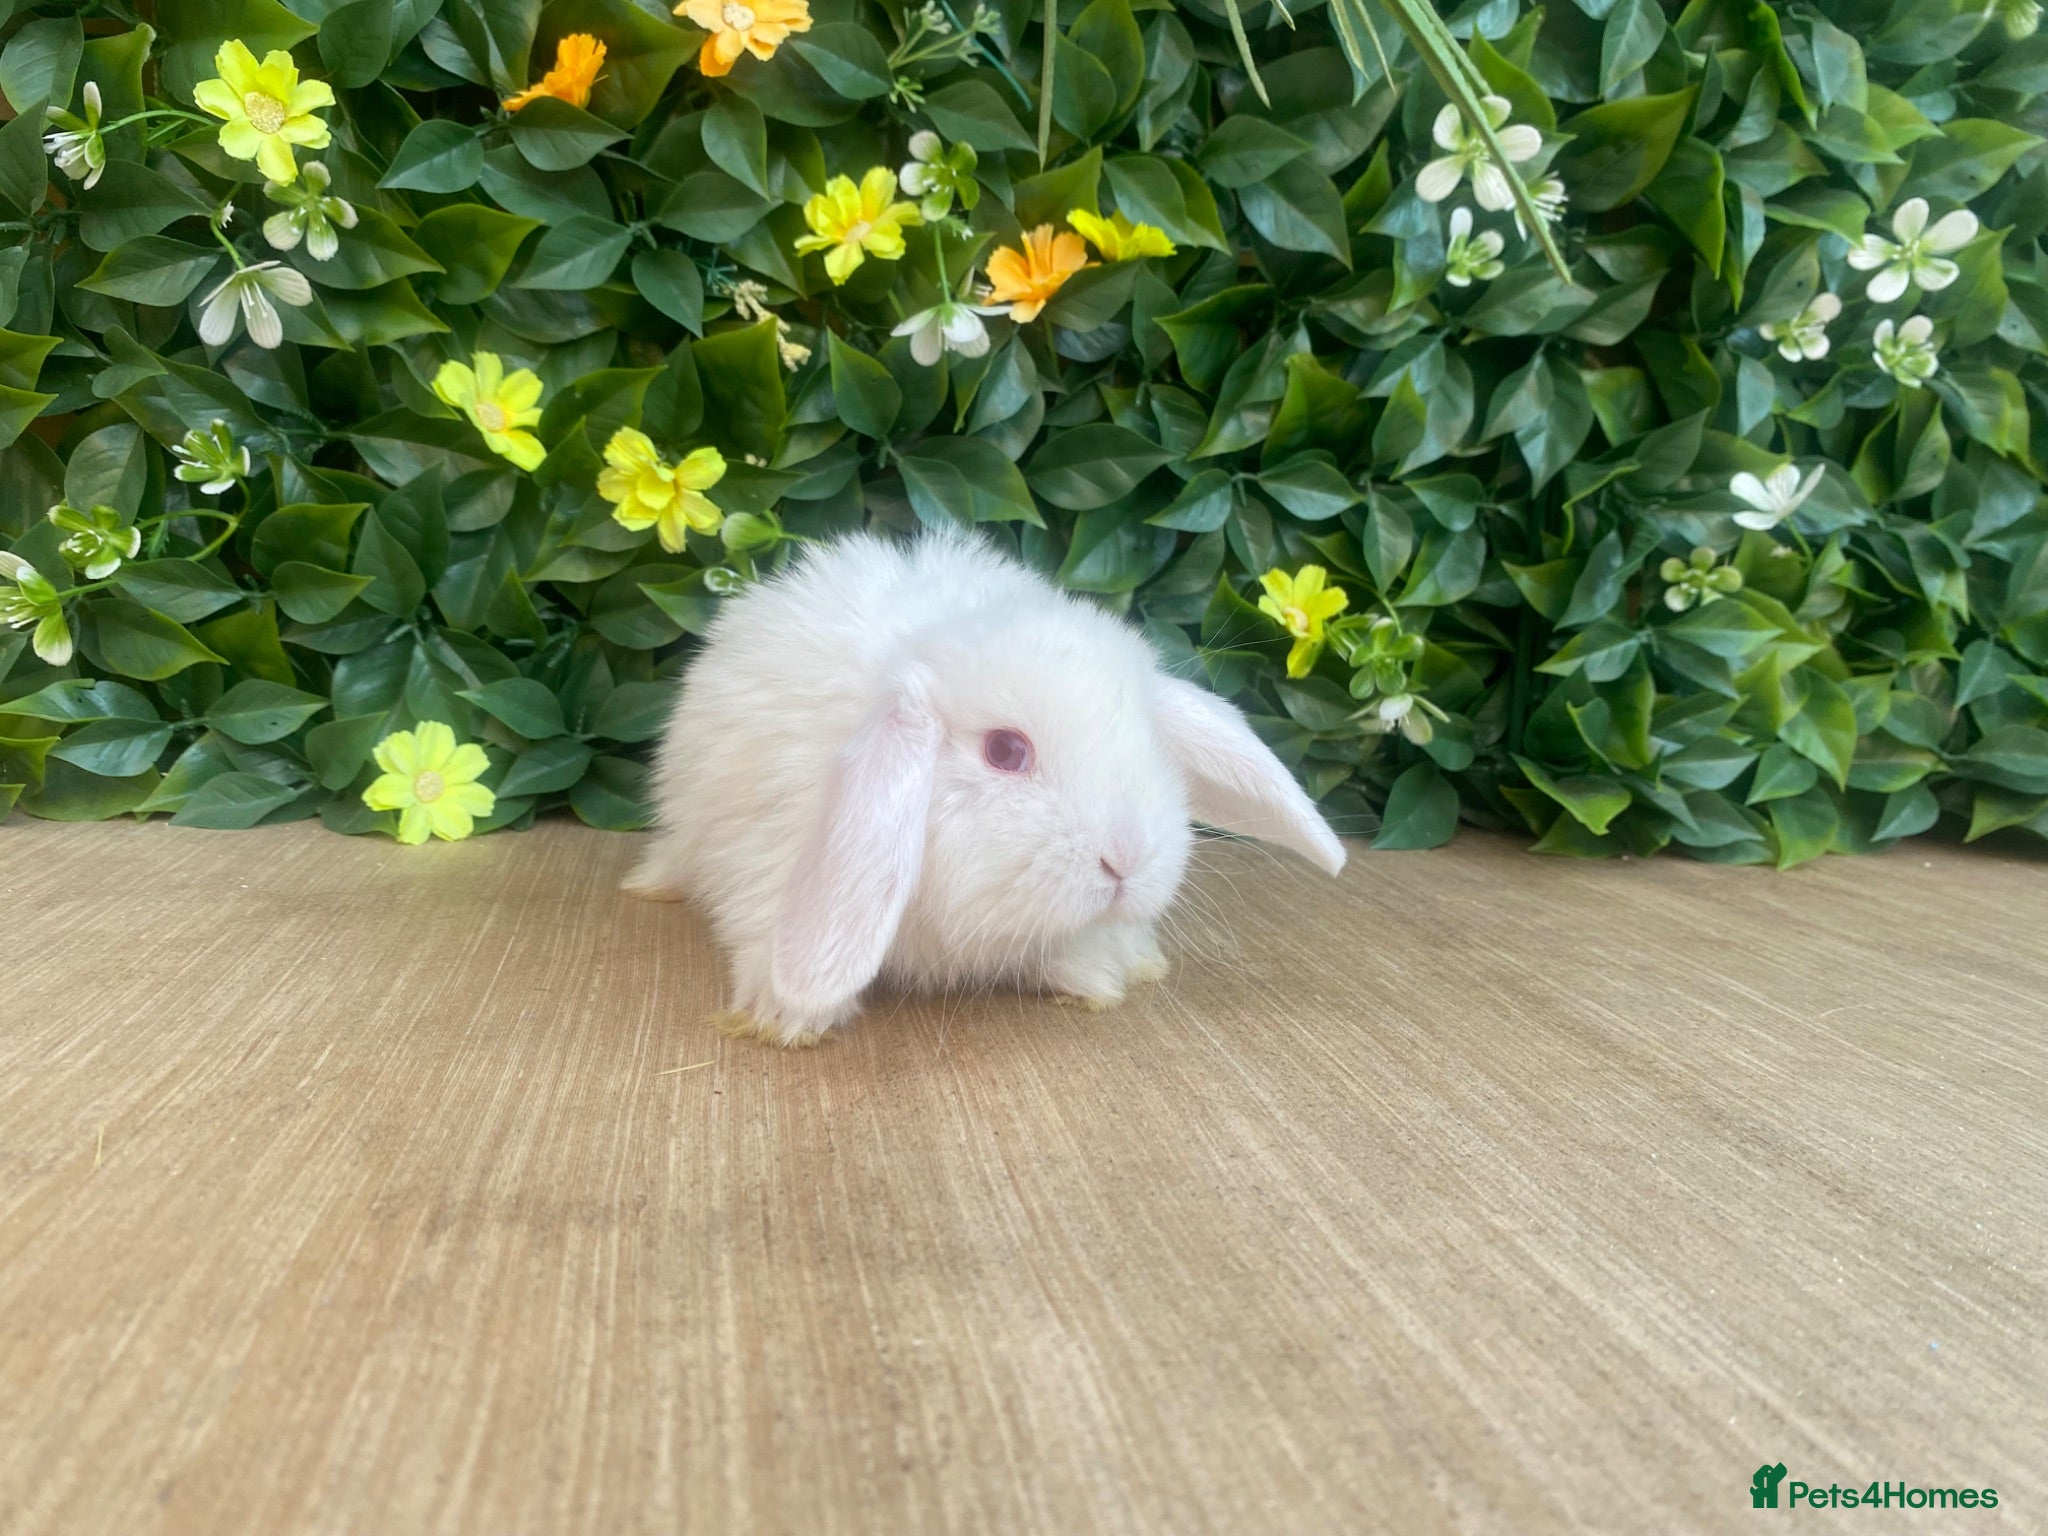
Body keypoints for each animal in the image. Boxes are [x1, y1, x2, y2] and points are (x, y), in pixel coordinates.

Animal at [626, 529, 1347, 1045]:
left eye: (1148, 739)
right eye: (1005, 750)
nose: (1126, 860)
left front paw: (1096, 977)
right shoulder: (770, 857)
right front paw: (785, 1015)